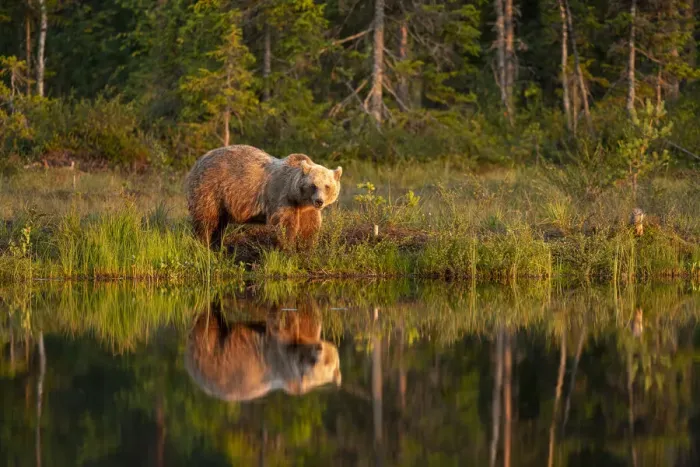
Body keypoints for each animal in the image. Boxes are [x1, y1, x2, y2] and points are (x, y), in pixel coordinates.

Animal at [184, 301, 342, 402]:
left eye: (327, 362)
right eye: (313, 361)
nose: (319, 349)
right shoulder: (279, 352)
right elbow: (283, 320)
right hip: (211, 353)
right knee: (208, 323)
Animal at [185, 145, 342, 248]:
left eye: (327, 186)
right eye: (313, 185)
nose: (319, 201)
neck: (298, 198)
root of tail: (198, 161)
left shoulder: (307, 209)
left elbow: (310, 228)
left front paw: (306, 248)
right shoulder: (282, 198)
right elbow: (285, 225)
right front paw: (287, 247)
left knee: (219, 224)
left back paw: (217, 245)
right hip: (210, 188)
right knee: (207, 220)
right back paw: (204, 244)